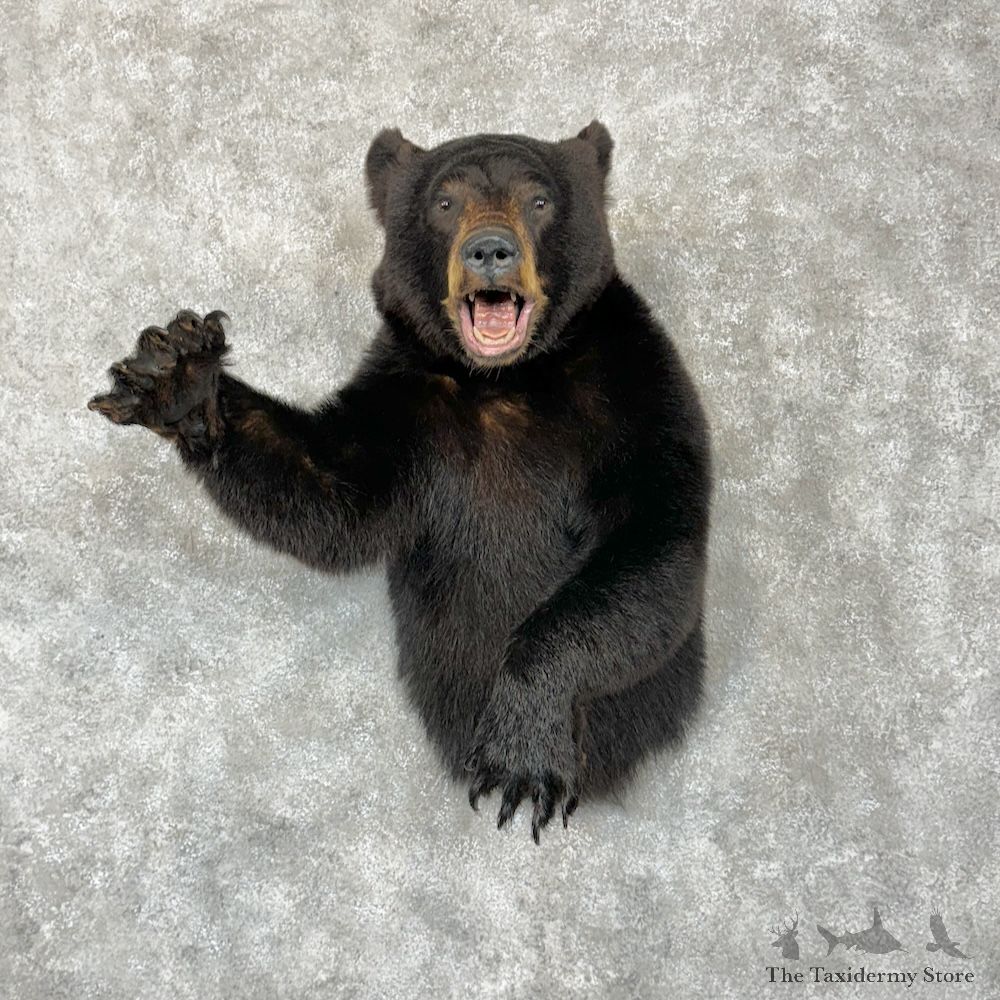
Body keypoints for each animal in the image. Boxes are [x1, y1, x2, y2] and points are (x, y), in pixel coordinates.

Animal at [88, 121, 712, 844]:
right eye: (444, 202)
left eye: (539, 200)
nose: (489, 250)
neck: (507, 382)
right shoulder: (410, 407)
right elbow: (330, 491)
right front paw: (179, 377)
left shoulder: (636, 393)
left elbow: (653, 546)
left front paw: (522, 752)